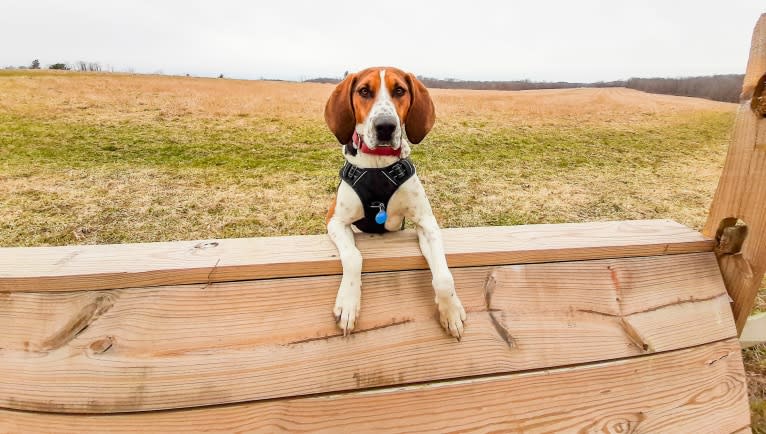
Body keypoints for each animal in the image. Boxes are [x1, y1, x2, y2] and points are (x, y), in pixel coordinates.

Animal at [324, 67, 468, 340]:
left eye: (399, 90)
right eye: (364, 91)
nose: (385, 126)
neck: (378, 165)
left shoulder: (427, 223)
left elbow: (444, 278)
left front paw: (451, 312)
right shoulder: (335, 220)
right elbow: (353, 256)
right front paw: (348, 302)